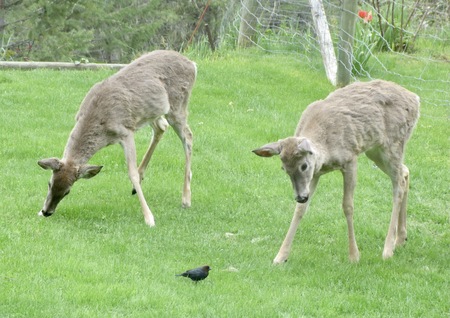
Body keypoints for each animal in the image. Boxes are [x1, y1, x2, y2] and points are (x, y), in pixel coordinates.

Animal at [39, 50, 198, 226]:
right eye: (49, 184)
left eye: (68, 191)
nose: (47, 212)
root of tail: (192, 64)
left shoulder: (125, 132)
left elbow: (131, 173)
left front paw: (149, 218)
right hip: (151, 112)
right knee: (161, 126)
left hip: (178, 105)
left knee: (188, 136)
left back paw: (186, 198)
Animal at [253, 80, 418, 264]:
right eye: (284, 169)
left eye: (304, 166)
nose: (300, 196)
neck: (326, 150)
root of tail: (415, 99)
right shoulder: (316, 174)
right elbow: (300, 209)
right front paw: (280, 256)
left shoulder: (350, 158)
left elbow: (348, 206)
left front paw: (354, 255)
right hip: (375, 151)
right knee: (405, 171)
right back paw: (401, 238)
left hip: (393, 144)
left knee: (398, 185)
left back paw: (388, 249)